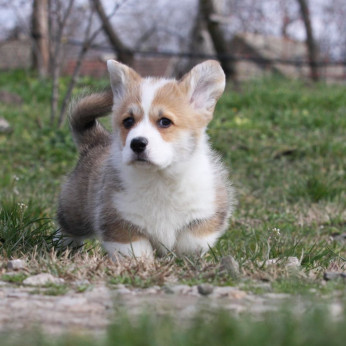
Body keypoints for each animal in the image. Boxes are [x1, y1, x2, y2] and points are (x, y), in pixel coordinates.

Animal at [56, 60, 235, 260]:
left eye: (165, 121)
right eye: (128, 121)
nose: (137, 143)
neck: (160, 178)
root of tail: (97, 141)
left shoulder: (206, 212)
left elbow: (192, 241)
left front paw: (183, 259)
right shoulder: (119, 222)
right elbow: (136, 250)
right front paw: (142, 263)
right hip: (75, 212)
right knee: (67, 229)